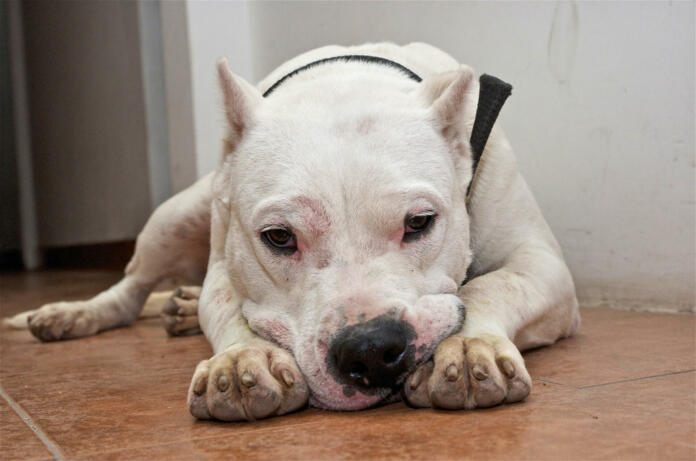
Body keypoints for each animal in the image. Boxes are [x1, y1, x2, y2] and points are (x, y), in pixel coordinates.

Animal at [9, 44, 580, 420]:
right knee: (129, 291)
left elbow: (493, 284)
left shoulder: (543, 264)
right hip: (175, 217)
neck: (346, 82)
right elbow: (227, 307)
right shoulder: (226, 266)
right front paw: (242, 358)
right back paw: (75, 313)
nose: (371, 349)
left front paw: (467, 347)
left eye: (420, 223)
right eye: (279, 237)